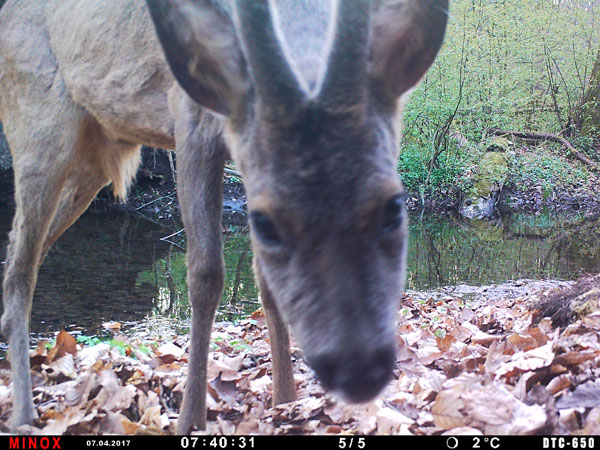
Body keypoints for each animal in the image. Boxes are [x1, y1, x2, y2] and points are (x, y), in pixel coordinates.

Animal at [0, 0, 448, 432]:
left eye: (395, 206)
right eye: (267, 223)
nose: (358, 370)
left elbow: (265, 284)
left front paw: (285, 401)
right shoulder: (189, 119)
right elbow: (205, 274)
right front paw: (190, 420)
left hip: (95, 156)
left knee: (27, 254)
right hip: (40, 128)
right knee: (21, 265)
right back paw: (23, 413)